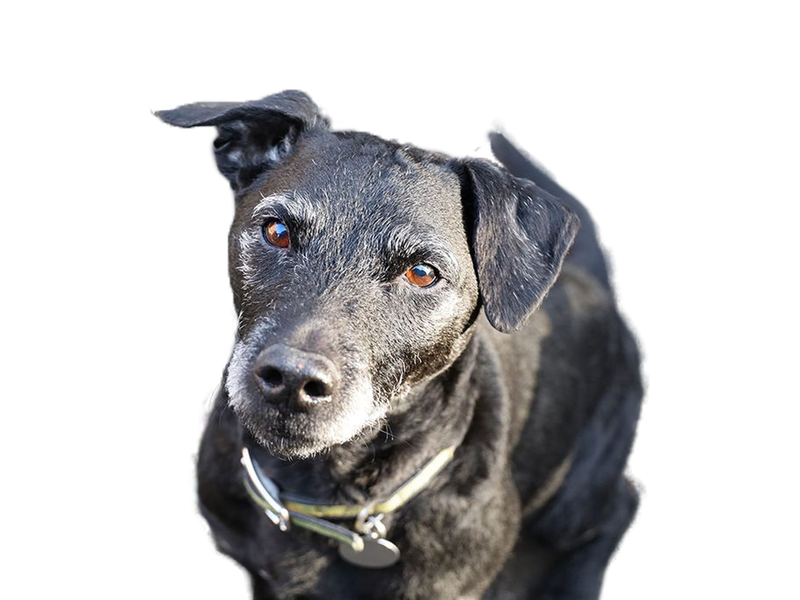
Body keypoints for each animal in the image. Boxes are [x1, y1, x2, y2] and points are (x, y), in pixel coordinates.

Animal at [153, 90, 648, 600]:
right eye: (277, 230)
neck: (328, 489)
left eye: (422, 272)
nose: (291, 379)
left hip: (575, 501)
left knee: (624, 502)